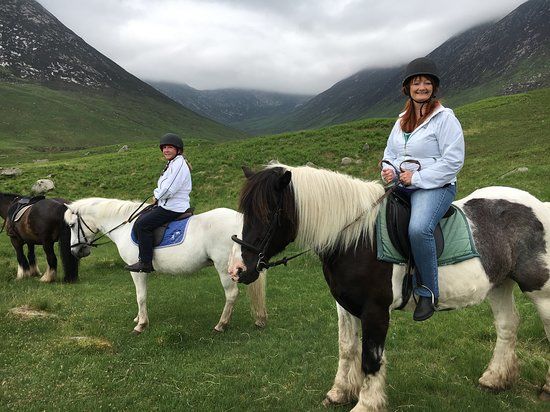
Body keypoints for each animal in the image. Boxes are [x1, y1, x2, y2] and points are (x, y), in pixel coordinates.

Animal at [64, 197, 267, 334]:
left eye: (72, 225)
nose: (75, 251)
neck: (125, 226)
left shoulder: (137, 271)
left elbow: (140, 296)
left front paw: (141, 324)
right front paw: (138, 317)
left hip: (225, 268)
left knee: (231, 294)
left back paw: (221, 324)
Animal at [228, 163, 550, 412]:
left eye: (268, 214)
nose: (239, 270)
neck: (357, 238)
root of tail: (538, 206)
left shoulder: (375, 311)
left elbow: (371, 358)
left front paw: (366, 404)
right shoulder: (345, 306)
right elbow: (347, 348)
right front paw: (340, 392)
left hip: (540, 290)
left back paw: (545, 388)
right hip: (500, 284)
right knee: (507, 326)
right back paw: (494, 379)